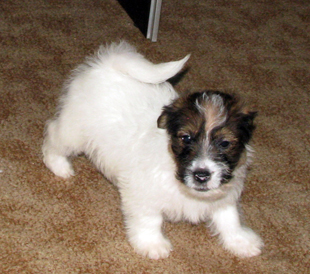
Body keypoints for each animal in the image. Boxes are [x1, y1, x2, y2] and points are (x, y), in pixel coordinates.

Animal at [42, 41, 262, 260]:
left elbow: (230, 218)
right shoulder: (142, 194)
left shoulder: (224, 196)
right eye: (186, 138)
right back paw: (59, 166)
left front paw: (241, 242)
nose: (201, 175)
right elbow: (150, 220)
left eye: (225, 143)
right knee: (53, 135)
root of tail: (106, 64)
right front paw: (152, 244)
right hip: (74, 131)